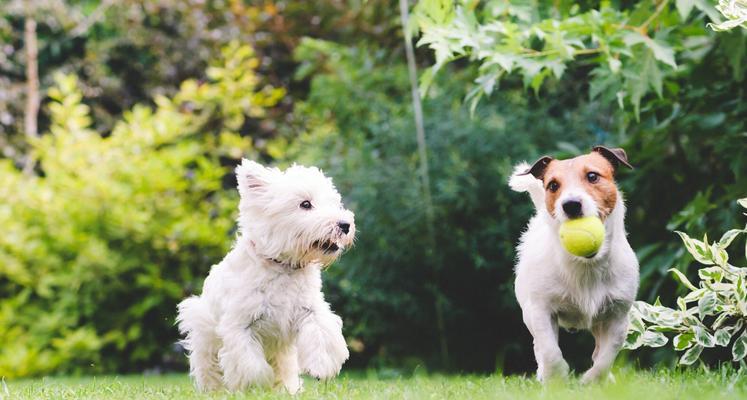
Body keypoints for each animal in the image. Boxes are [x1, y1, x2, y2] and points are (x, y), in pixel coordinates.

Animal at [180, 159, 358, 394]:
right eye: (305, 204)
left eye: (334, 202)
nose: (345, 225)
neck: (283, 266)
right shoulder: (240, 325)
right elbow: (251, 365)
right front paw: (255, 386)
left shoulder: (309, 309)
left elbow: (321, 332)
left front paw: (321, 367)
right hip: (204, 334)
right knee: (209, 367)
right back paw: (214, 390)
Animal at [512, 145, 640, 382]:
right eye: (553, 185)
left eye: (592, 176)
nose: (571, 205)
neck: (586, 265)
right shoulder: (541, 310)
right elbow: (550, 350)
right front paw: (557, 375)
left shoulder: (618, 316)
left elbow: (606, 355)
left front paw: (592, 380)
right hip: (529, 313)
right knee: (540, 346)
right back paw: (544, 373)